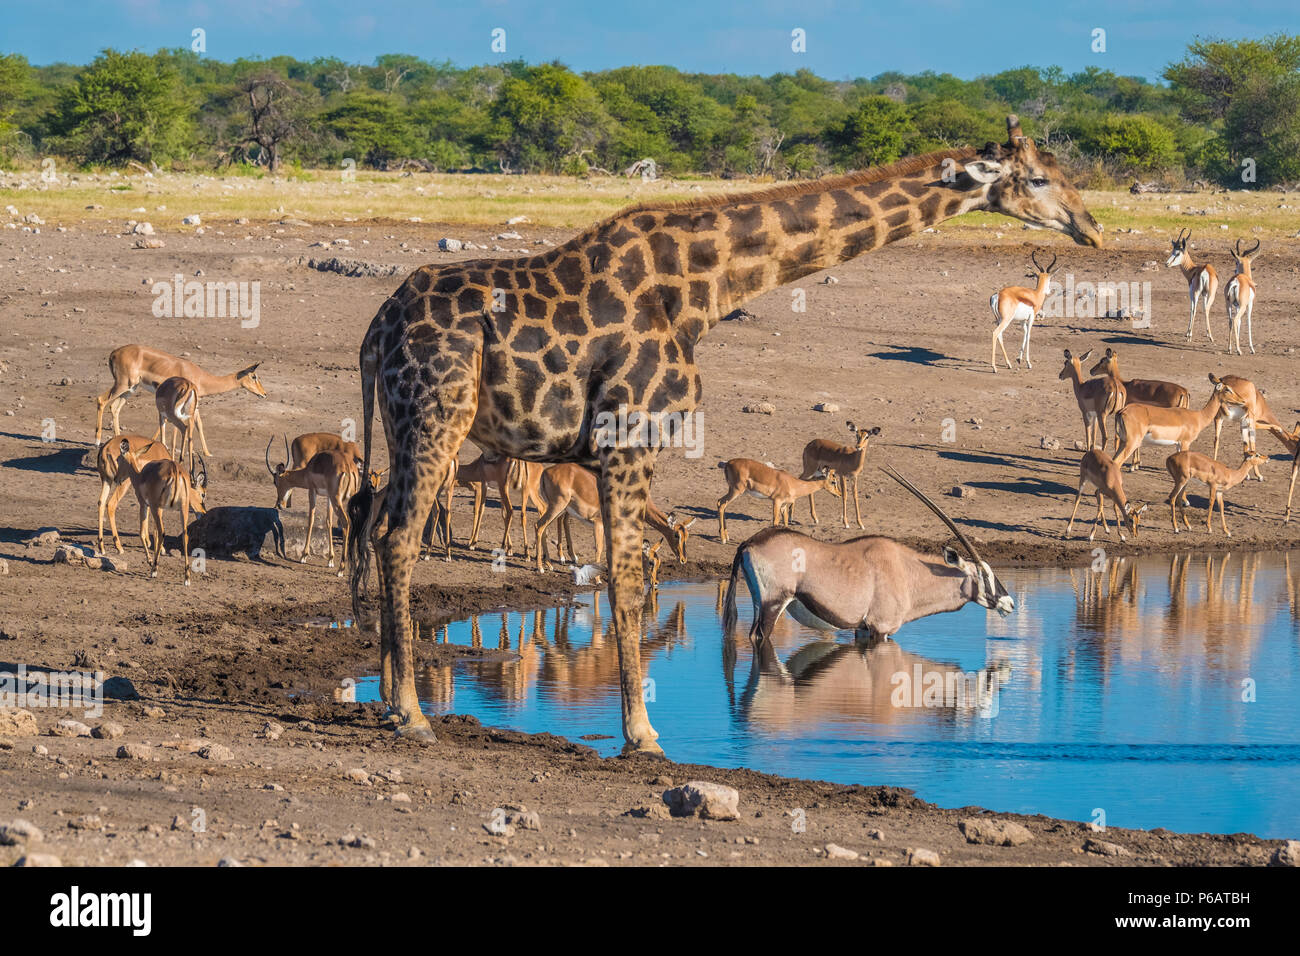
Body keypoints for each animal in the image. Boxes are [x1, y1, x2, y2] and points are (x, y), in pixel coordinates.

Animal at [351, 113, 1102, 754]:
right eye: (1038, 179)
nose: (1092, 228)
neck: (701, 291)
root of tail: (377, 328)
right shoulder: (631, 438)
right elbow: (628, 577)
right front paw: (642, 735)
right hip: (436, 418)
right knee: (400, 538)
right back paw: (413, 715)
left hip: (400, 423)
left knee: (380, 526)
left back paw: (389, 699)